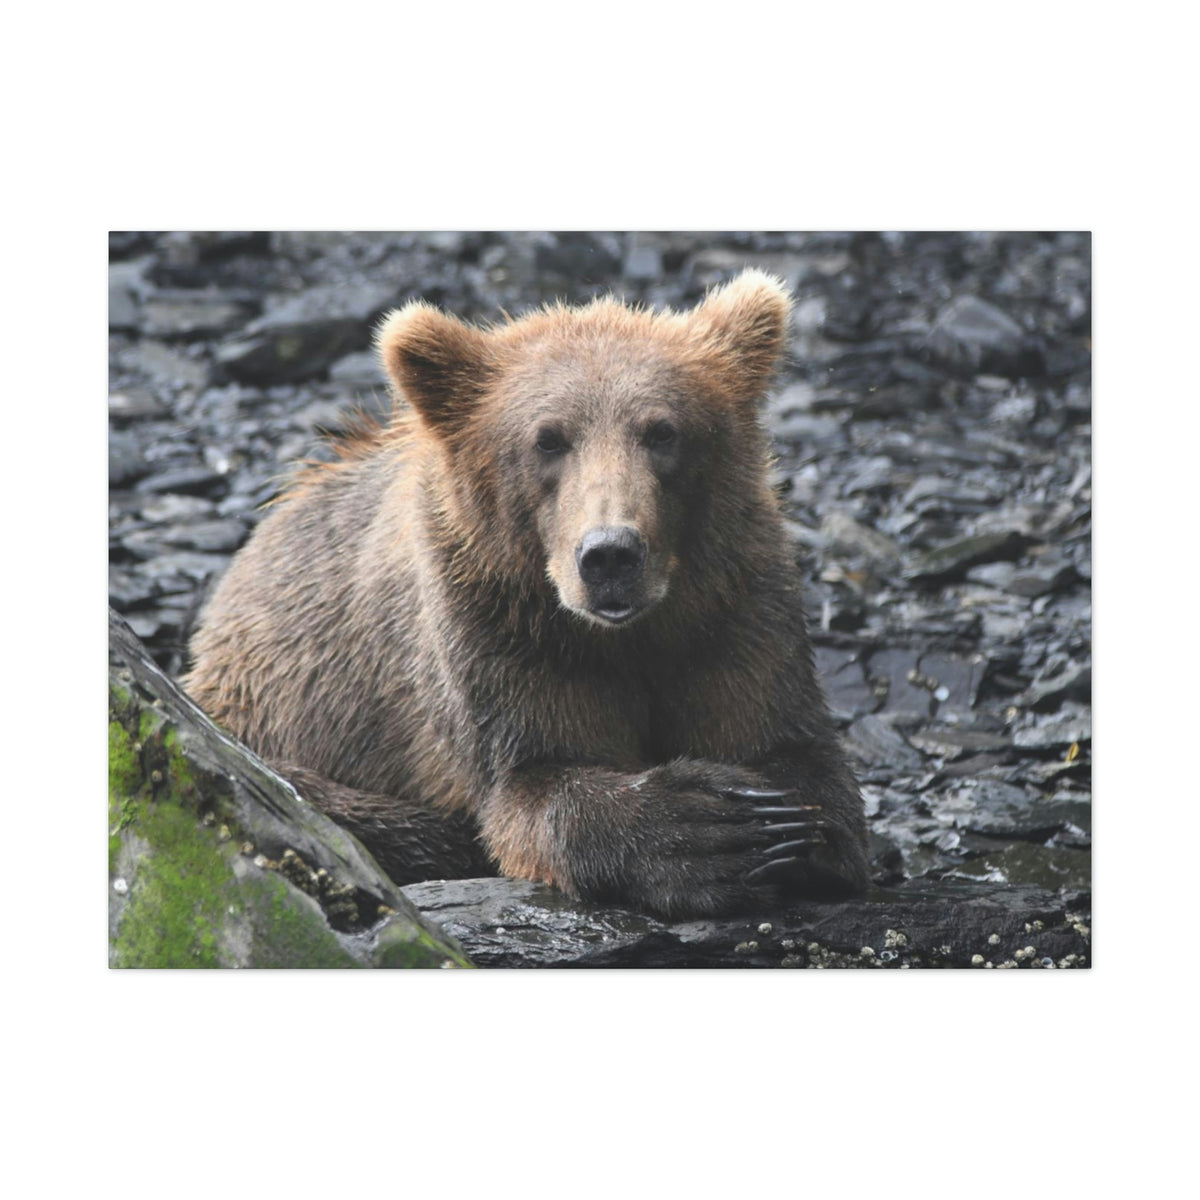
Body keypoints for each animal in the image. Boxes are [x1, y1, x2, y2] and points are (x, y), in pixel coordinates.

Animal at [184, 269, 870, 918]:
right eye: (548, 438)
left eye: (662, 432)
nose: (610, 554)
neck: (625, 634)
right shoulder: (496, 630)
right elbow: (532, 782)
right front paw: (706, 830)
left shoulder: (732, 606)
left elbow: (791, 747)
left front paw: (780, 825)